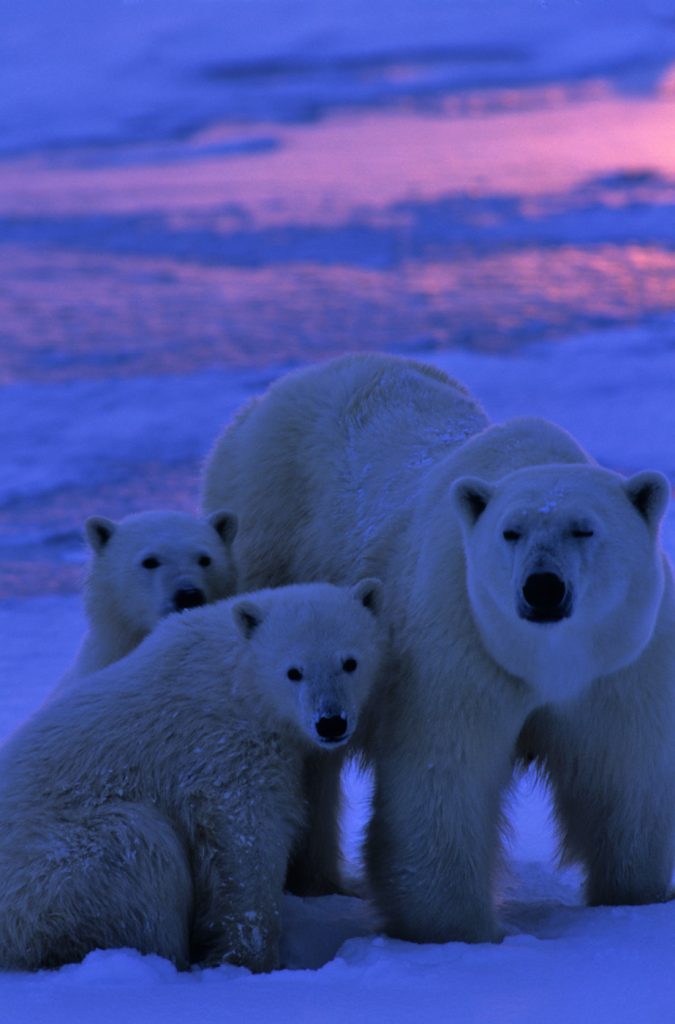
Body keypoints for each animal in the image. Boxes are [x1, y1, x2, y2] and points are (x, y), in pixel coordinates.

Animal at [0, 579, 383, 973]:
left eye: (350, 662)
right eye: (294, 671)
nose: (331, 722)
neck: (238, 676)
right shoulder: (222, 744)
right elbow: (247, 836)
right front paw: (249, 956)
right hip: (57, 871)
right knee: (140, 844)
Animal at [201, 352, 675, 944]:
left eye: (584, 529)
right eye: (510, 532)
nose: (542, 587)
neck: (544, 656)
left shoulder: (624, 663)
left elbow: (624, 779)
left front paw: (637, 898)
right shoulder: (456, 641)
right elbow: (442, 780)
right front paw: (458, 930)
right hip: (270, 535)